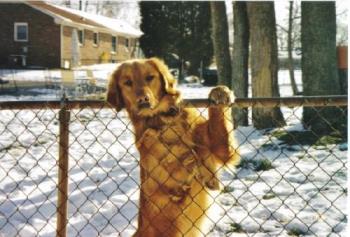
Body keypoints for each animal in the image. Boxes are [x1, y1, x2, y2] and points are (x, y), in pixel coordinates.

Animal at [106, 57, 238, 237]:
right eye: (127, 82)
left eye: (150, 77)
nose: (143, 100)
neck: (165, 117)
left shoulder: (220, 148)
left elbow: (218, 125)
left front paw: (220, 92)